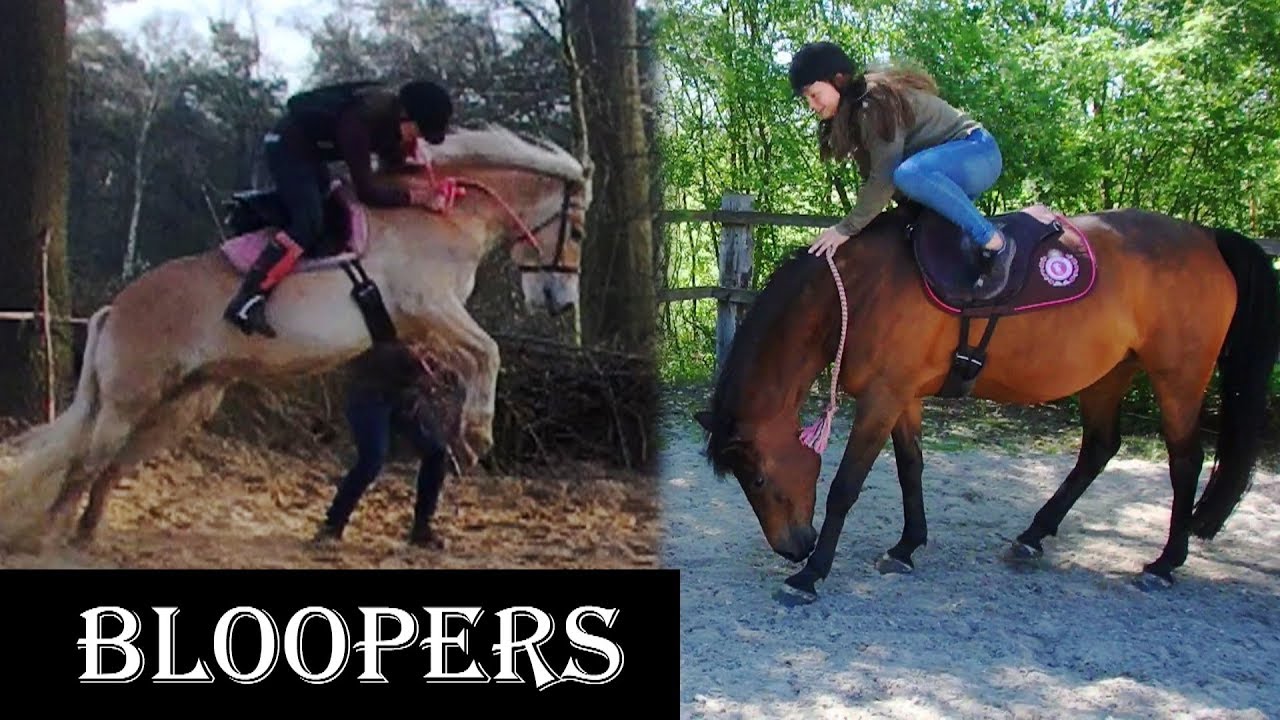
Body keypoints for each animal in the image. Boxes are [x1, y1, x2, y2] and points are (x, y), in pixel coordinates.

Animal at [0, 124, 591, 552]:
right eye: (580, 230)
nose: (559, 303)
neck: (443, 215)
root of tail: (115, 308)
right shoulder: (429, 306)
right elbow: (489, 352)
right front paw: (477, 433)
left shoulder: (426, 325)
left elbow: (471, 360)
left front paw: (465, 435)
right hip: (128, 403)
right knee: (84, 464)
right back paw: (47, 537)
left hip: (177, 405)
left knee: (108, 468)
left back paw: (84, 535)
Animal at [694, 200, 1280, 601]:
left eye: (758, 478)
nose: (791, 546)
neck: (859, 290)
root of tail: (1206, 237)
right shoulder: (902, 397)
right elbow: (910, 468)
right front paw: (906, 547)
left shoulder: (882, 397)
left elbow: (845, 486)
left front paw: (811, 574)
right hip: (1111, 373)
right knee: (1098, 448)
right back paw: (1033, 536)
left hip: (1177, 378)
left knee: (1186, 461)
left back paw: (1164, 563)